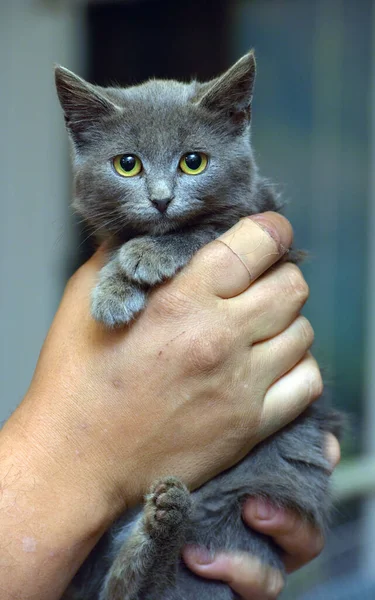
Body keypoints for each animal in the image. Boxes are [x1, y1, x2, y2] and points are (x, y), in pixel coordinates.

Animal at [56, 52, 344, 600]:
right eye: (127, 164)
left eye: (194, 162)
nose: (161, 199)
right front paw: (113, 288)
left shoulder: (263, 221)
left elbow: (204, 229)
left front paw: (139, 261)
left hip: (226, 506)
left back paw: (164, 524)